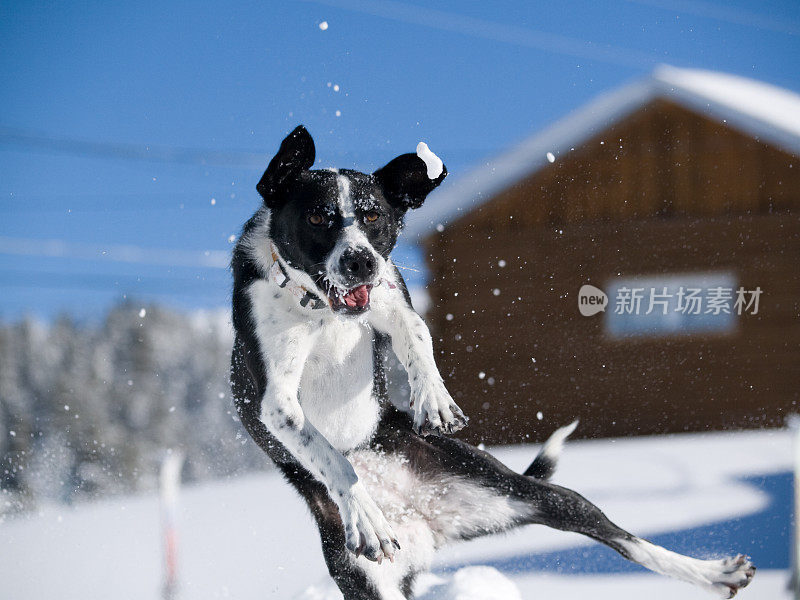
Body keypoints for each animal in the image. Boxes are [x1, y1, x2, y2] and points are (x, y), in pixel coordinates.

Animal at [227, 124, 756, 596]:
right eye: (319, 218)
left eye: (373, 217)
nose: (361, 261)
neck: (320, 309)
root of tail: (427, 521)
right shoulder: (277, 402)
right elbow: (333, 458)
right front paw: (363, 510)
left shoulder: (392, 299)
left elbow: (415, 333)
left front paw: (434, 398)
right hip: (366, 578)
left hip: (521, 494)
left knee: (622, 538)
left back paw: (714, 574)